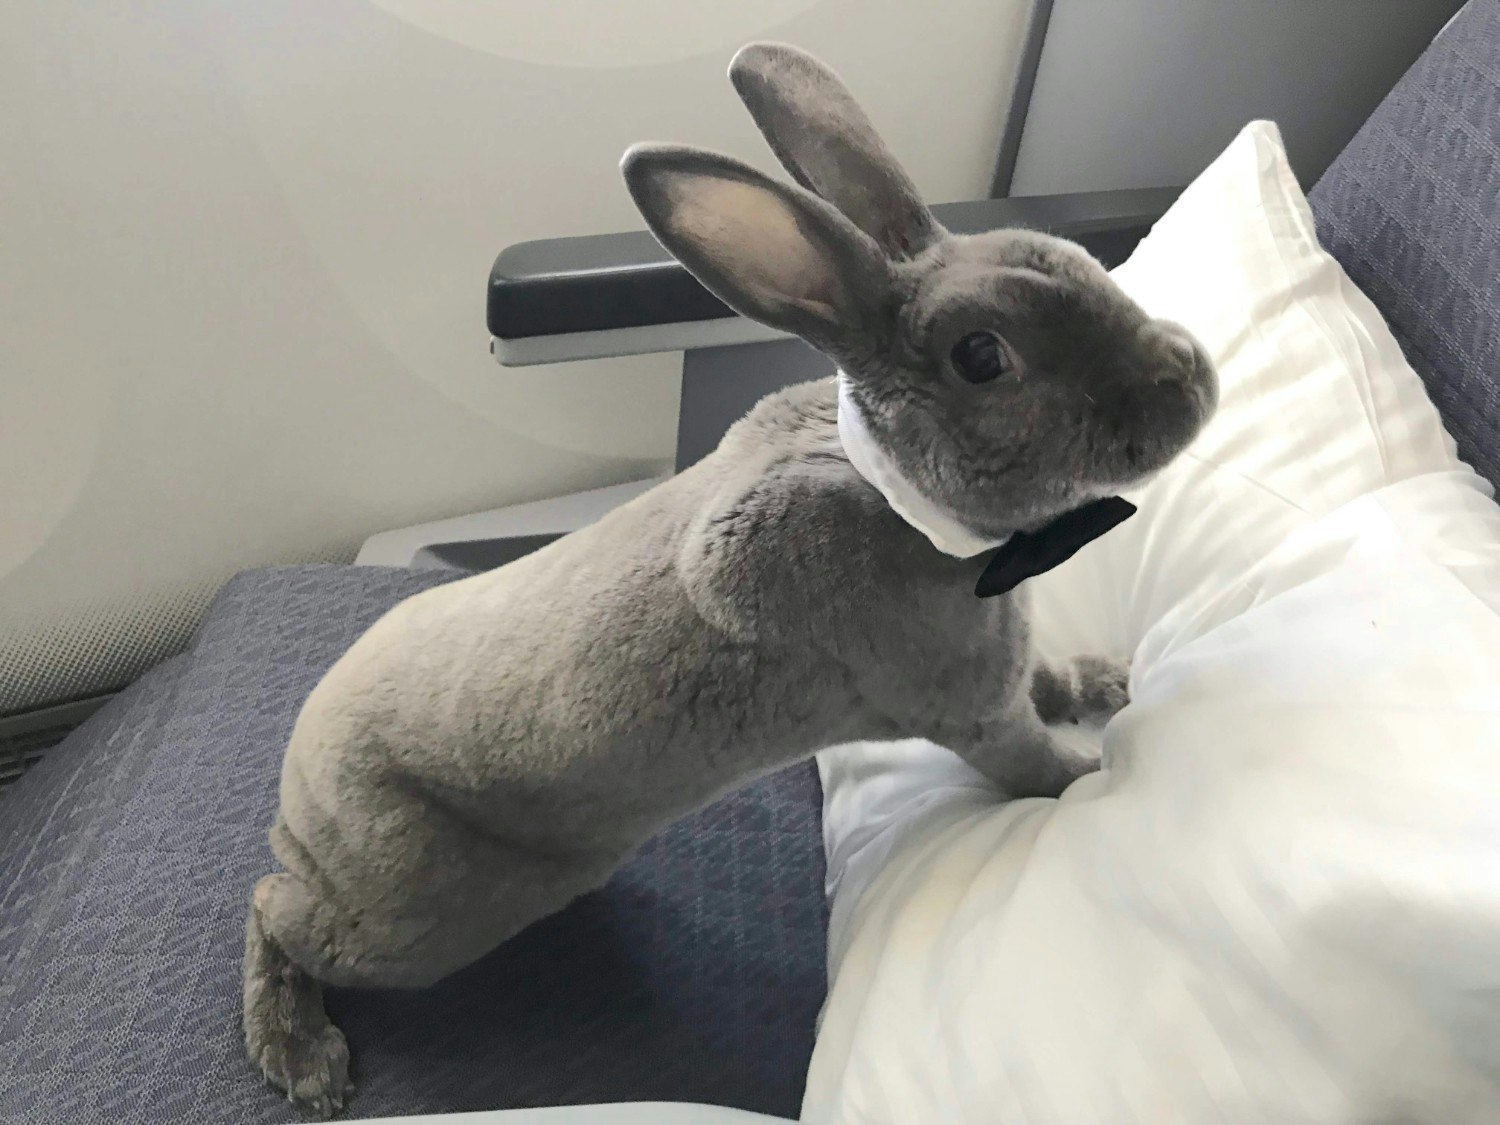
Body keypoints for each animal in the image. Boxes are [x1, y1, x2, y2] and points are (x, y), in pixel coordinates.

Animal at [237, 37, 1218, 1122]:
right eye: (980, 356)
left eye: (1073, 259)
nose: (1190, 380)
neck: (909, 501)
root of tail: (299, 795)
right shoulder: (965, 708)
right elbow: (1029, 763)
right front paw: (1089, 778)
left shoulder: (1002, 655)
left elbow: (1046, 680)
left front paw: (1106, 682)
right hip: (420, 914)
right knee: (273, 911)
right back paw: (302, 1059)